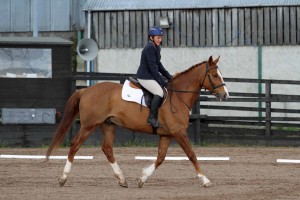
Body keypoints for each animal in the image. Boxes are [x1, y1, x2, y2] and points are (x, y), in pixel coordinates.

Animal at [45, 55, 229, 188]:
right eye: (214, 75)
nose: (225, 95)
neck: (177, 96)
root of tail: (86, 90)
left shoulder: (167, 135)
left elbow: (161, 158)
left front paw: (142, 179)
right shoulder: (179, 132)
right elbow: (192, 155)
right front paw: (205, 180)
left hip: (108, 125)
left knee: (107, 149)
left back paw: (122, 179)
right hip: (89, 125)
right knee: (75, 145)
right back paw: (63, 178)